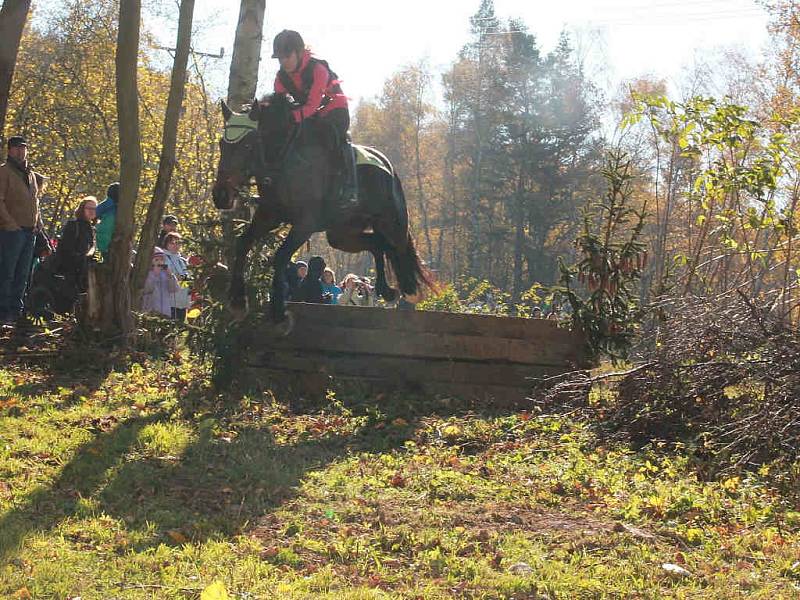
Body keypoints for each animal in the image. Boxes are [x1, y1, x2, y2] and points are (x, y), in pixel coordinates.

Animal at [211, 94, 432, 326]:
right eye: (221, 144)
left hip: (392, 222)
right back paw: (385, 289)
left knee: (398, 248)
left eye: (248, 145)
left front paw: (279, 311)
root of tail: (387, 165)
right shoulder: (269, 215)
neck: (282, 158)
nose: (221, 195)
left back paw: (409, 291)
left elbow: (280, 256)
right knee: (377, 244)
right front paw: (237, 301)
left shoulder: (304, 224)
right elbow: (243, 244)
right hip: (341, 234)